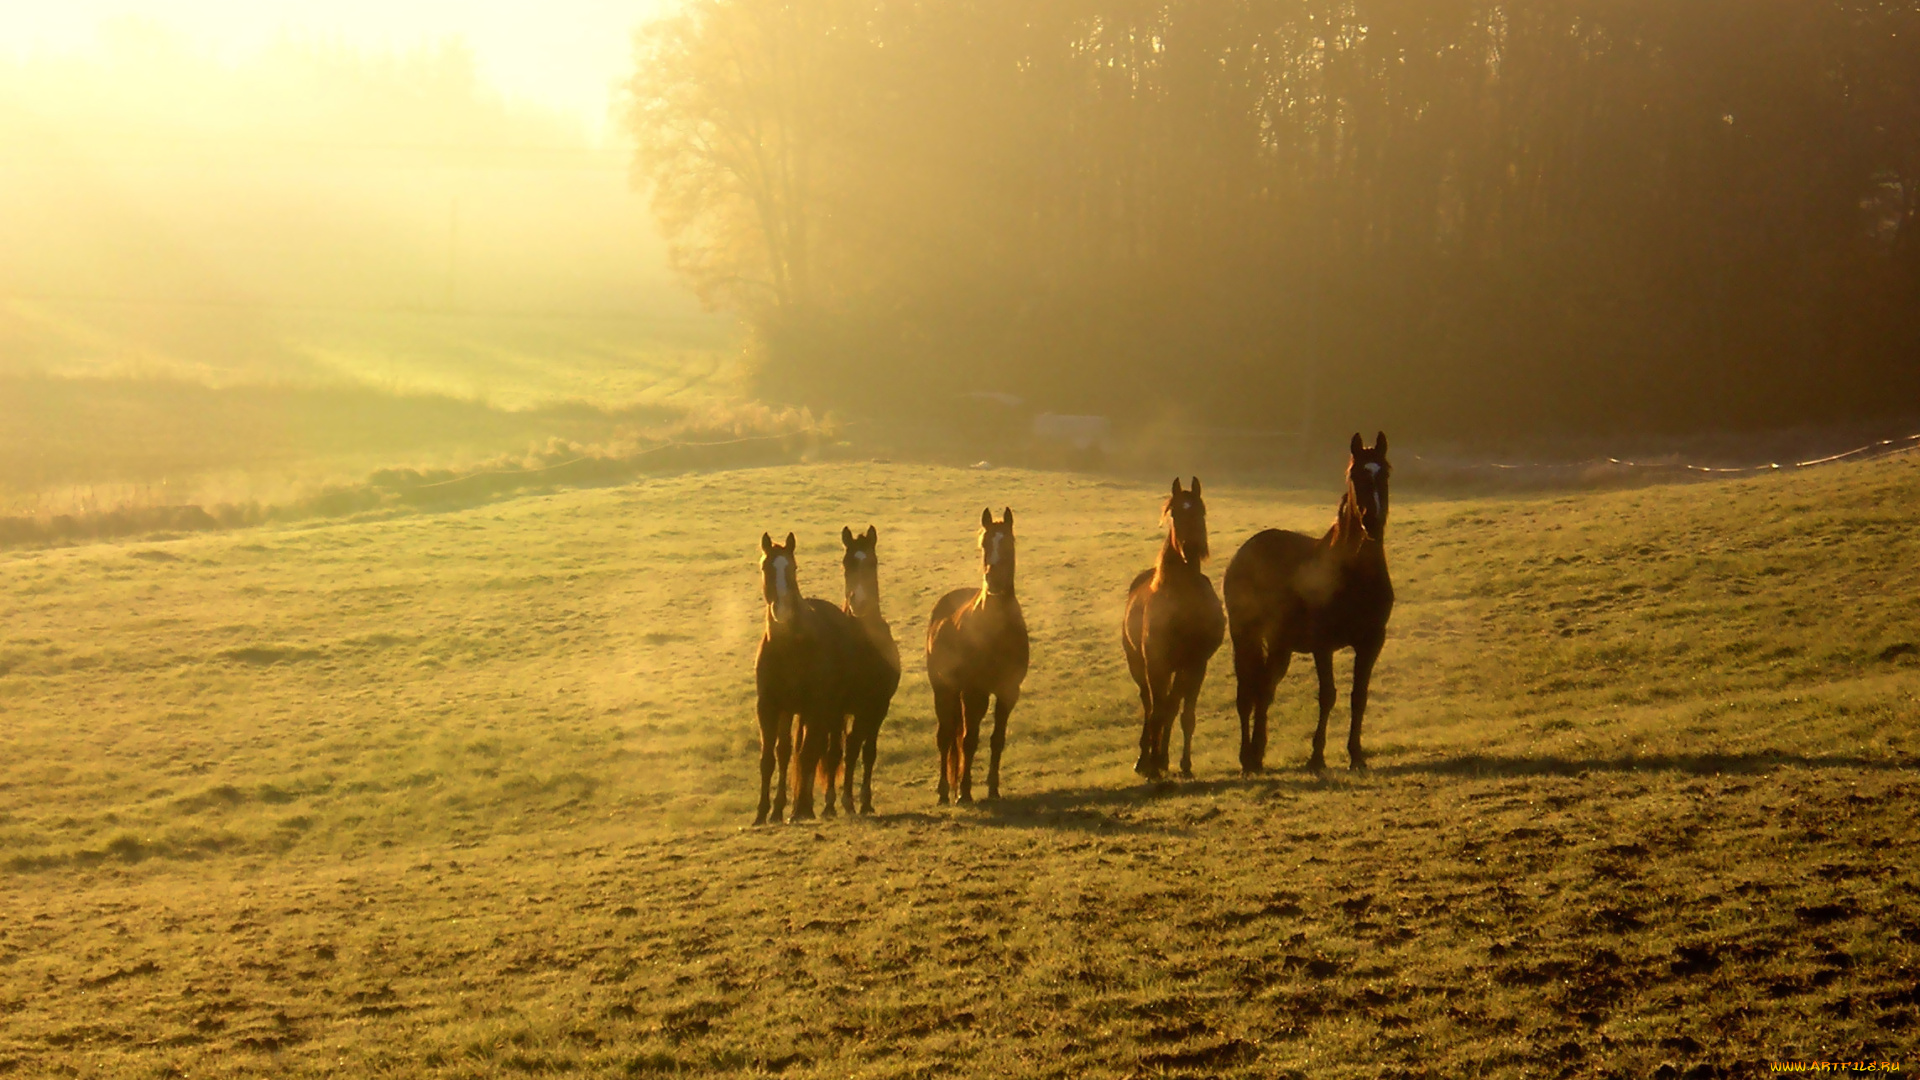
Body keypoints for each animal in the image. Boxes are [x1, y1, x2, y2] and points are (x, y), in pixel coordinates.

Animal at [756, 530, 864, 822]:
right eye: (765, 568)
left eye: (793, 568)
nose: (782, 611)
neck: (789, 647)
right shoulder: (768, 707)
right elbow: (769, 758)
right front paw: (762, 813)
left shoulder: (816, 707)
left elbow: (807, 755)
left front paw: (800, 811)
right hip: (793, 711)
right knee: (786, 752)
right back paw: (782, 808)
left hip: (828, 711)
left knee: (819, 751)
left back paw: (808, 806)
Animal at [829, 518, 902, 807]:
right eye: (845, 564)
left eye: (872, 562)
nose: (858, 603)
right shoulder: (838, 708)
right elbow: (838, 751)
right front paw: (838, 801)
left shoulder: (878, 705)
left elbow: (867, 750)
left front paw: (864, 800)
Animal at [921, 503, 1029, 799]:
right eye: (984, 543)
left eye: (1009, 542)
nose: (993, 580)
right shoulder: (974, 692)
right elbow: (969, 740)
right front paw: (965, 793)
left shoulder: (1008, 691)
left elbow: (997, 740)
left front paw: (993, 788)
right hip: (944, 690)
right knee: (946, 736)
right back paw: (944, 791)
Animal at [1121, 476, 1228, 772]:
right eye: (1175, 513)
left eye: (1201, 511)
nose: (1192, 548)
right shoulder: (1156, 664)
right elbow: (1158, 711)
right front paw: (1151, 763)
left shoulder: (1196, 664)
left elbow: (1184, 714)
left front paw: (1183, 763)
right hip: (1139, 664)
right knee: (1150, 706)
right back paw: (1145, 758)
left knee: (1169, 706)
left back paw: (1162, 758)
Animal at [1228, 432, 1397, 768]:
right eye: (1355, 475)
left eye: (1384, 473)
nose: (1371, 522)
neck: (1354, 576)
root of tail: (1245, 552)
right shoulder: (1323, 645)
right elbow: (1328, 695)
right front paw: (1317, 756)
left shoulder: (1371, 642)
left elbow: (1359, 697)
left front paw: (1356, 755)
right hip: (1244, 637)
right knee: (1247, 693)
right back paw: (1246, 757)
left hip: (1280, 645)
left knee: (1264, 689)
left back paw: (1258, 753)